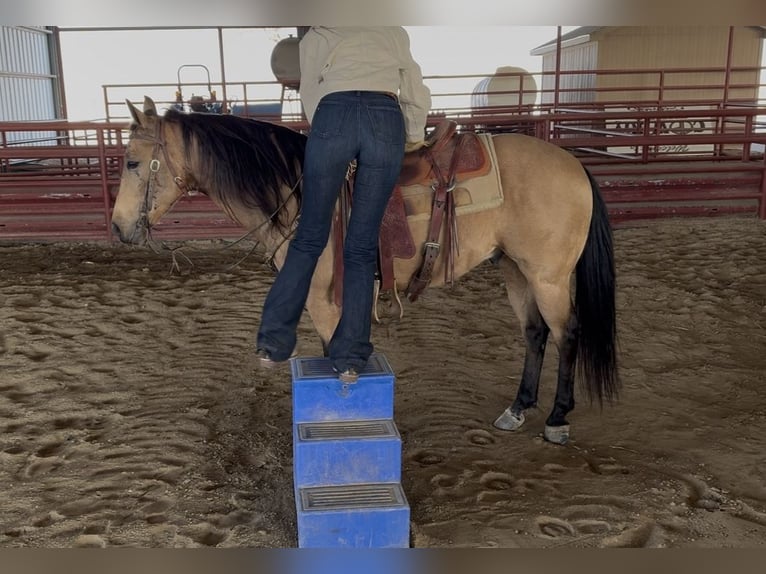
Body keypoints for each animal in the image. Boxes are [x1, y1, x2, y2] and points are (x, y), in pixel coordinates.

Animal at [111, 96, 619, 445]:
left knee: (567, 334)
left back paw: (557, 419)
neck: (298, 194)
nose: (117, 227)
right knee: (534, 333)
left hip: (549, 277)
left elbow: (336, 359)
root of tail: (575, 165)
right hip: (515, 269)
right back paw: (518, 408)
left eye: (133, 162)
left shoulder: (325, 302)